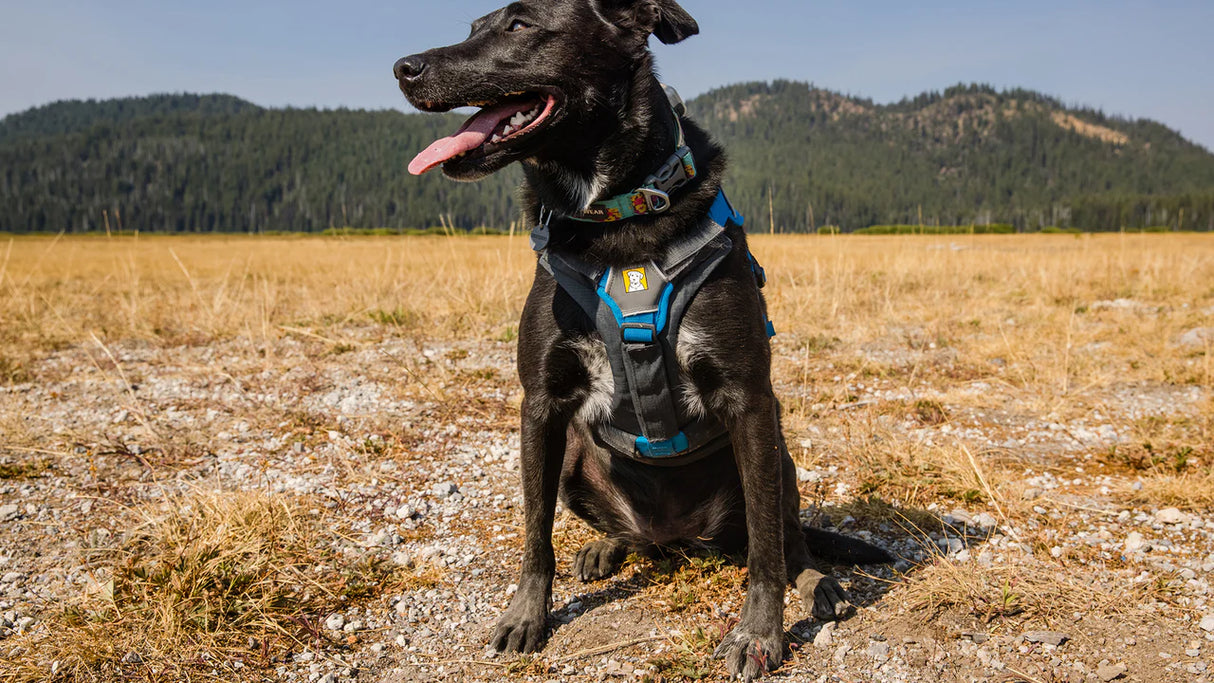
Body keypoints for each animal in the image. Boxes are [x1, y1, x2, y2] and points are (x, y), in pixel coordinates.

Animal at [398, 4, 893, 679]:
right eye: (473, 27)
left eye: (520, 25)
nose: (403, 68)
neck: (616, 214)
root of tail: (676, 536)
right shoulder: (540, 404)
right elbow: (535, 532)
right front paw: (527, 615)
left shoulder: (748, 400)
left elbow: (766, 550)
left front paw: (760, 635)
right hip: (575, 460)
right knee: (624, 530)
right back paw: (608, 548)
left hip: (779, 458)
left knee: (786, 538)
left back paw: (818, 583)